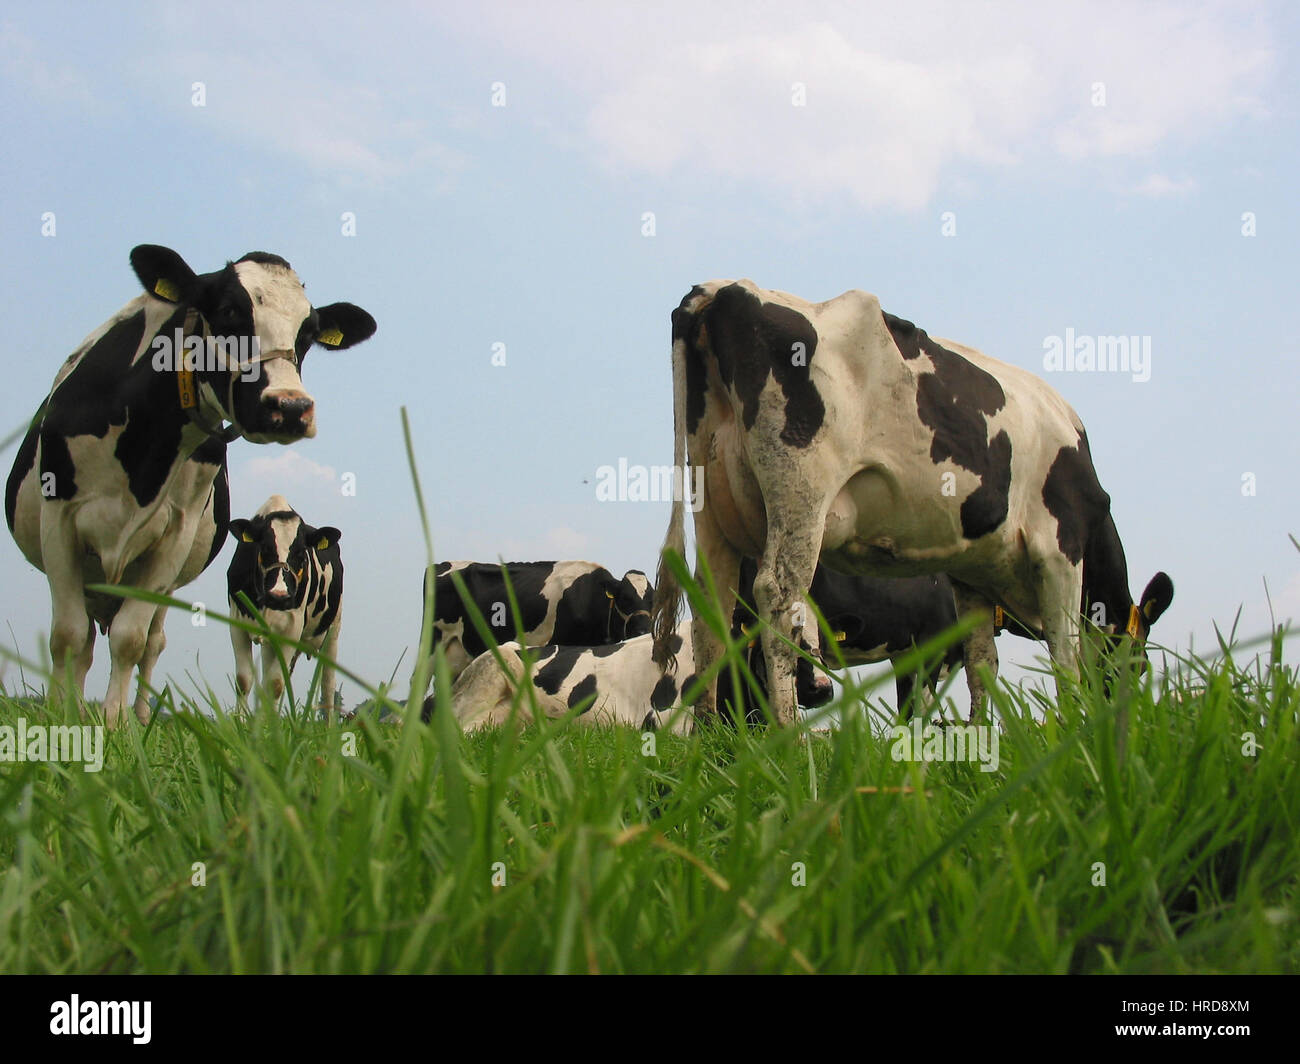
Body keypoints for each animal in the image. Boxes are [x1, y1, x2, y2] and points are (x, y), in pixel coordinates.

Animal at [228, 494, 343, 712]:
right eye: (264, 547)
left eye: (302, 552)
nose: (279, 595)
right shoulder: (236, 622)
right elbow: (244, 681)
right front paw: (241, 720)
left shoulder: (292, 628)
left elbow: (275, 684)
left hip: (333, 631)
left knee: (328, 686)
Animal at [655, 279, 1175, 728]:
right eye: (1138, 666)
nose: (1124, 715)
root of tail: (725, 288)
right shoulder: (1059, 548)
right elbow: (1065, 654)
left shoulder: (972, 574)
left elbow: (982, 665)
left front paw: (979, 741)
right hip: (801, 495)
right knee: (779, 599)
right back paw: (790, 738)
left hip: (714, 508)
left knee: (712, 608)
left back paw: (713, 738)